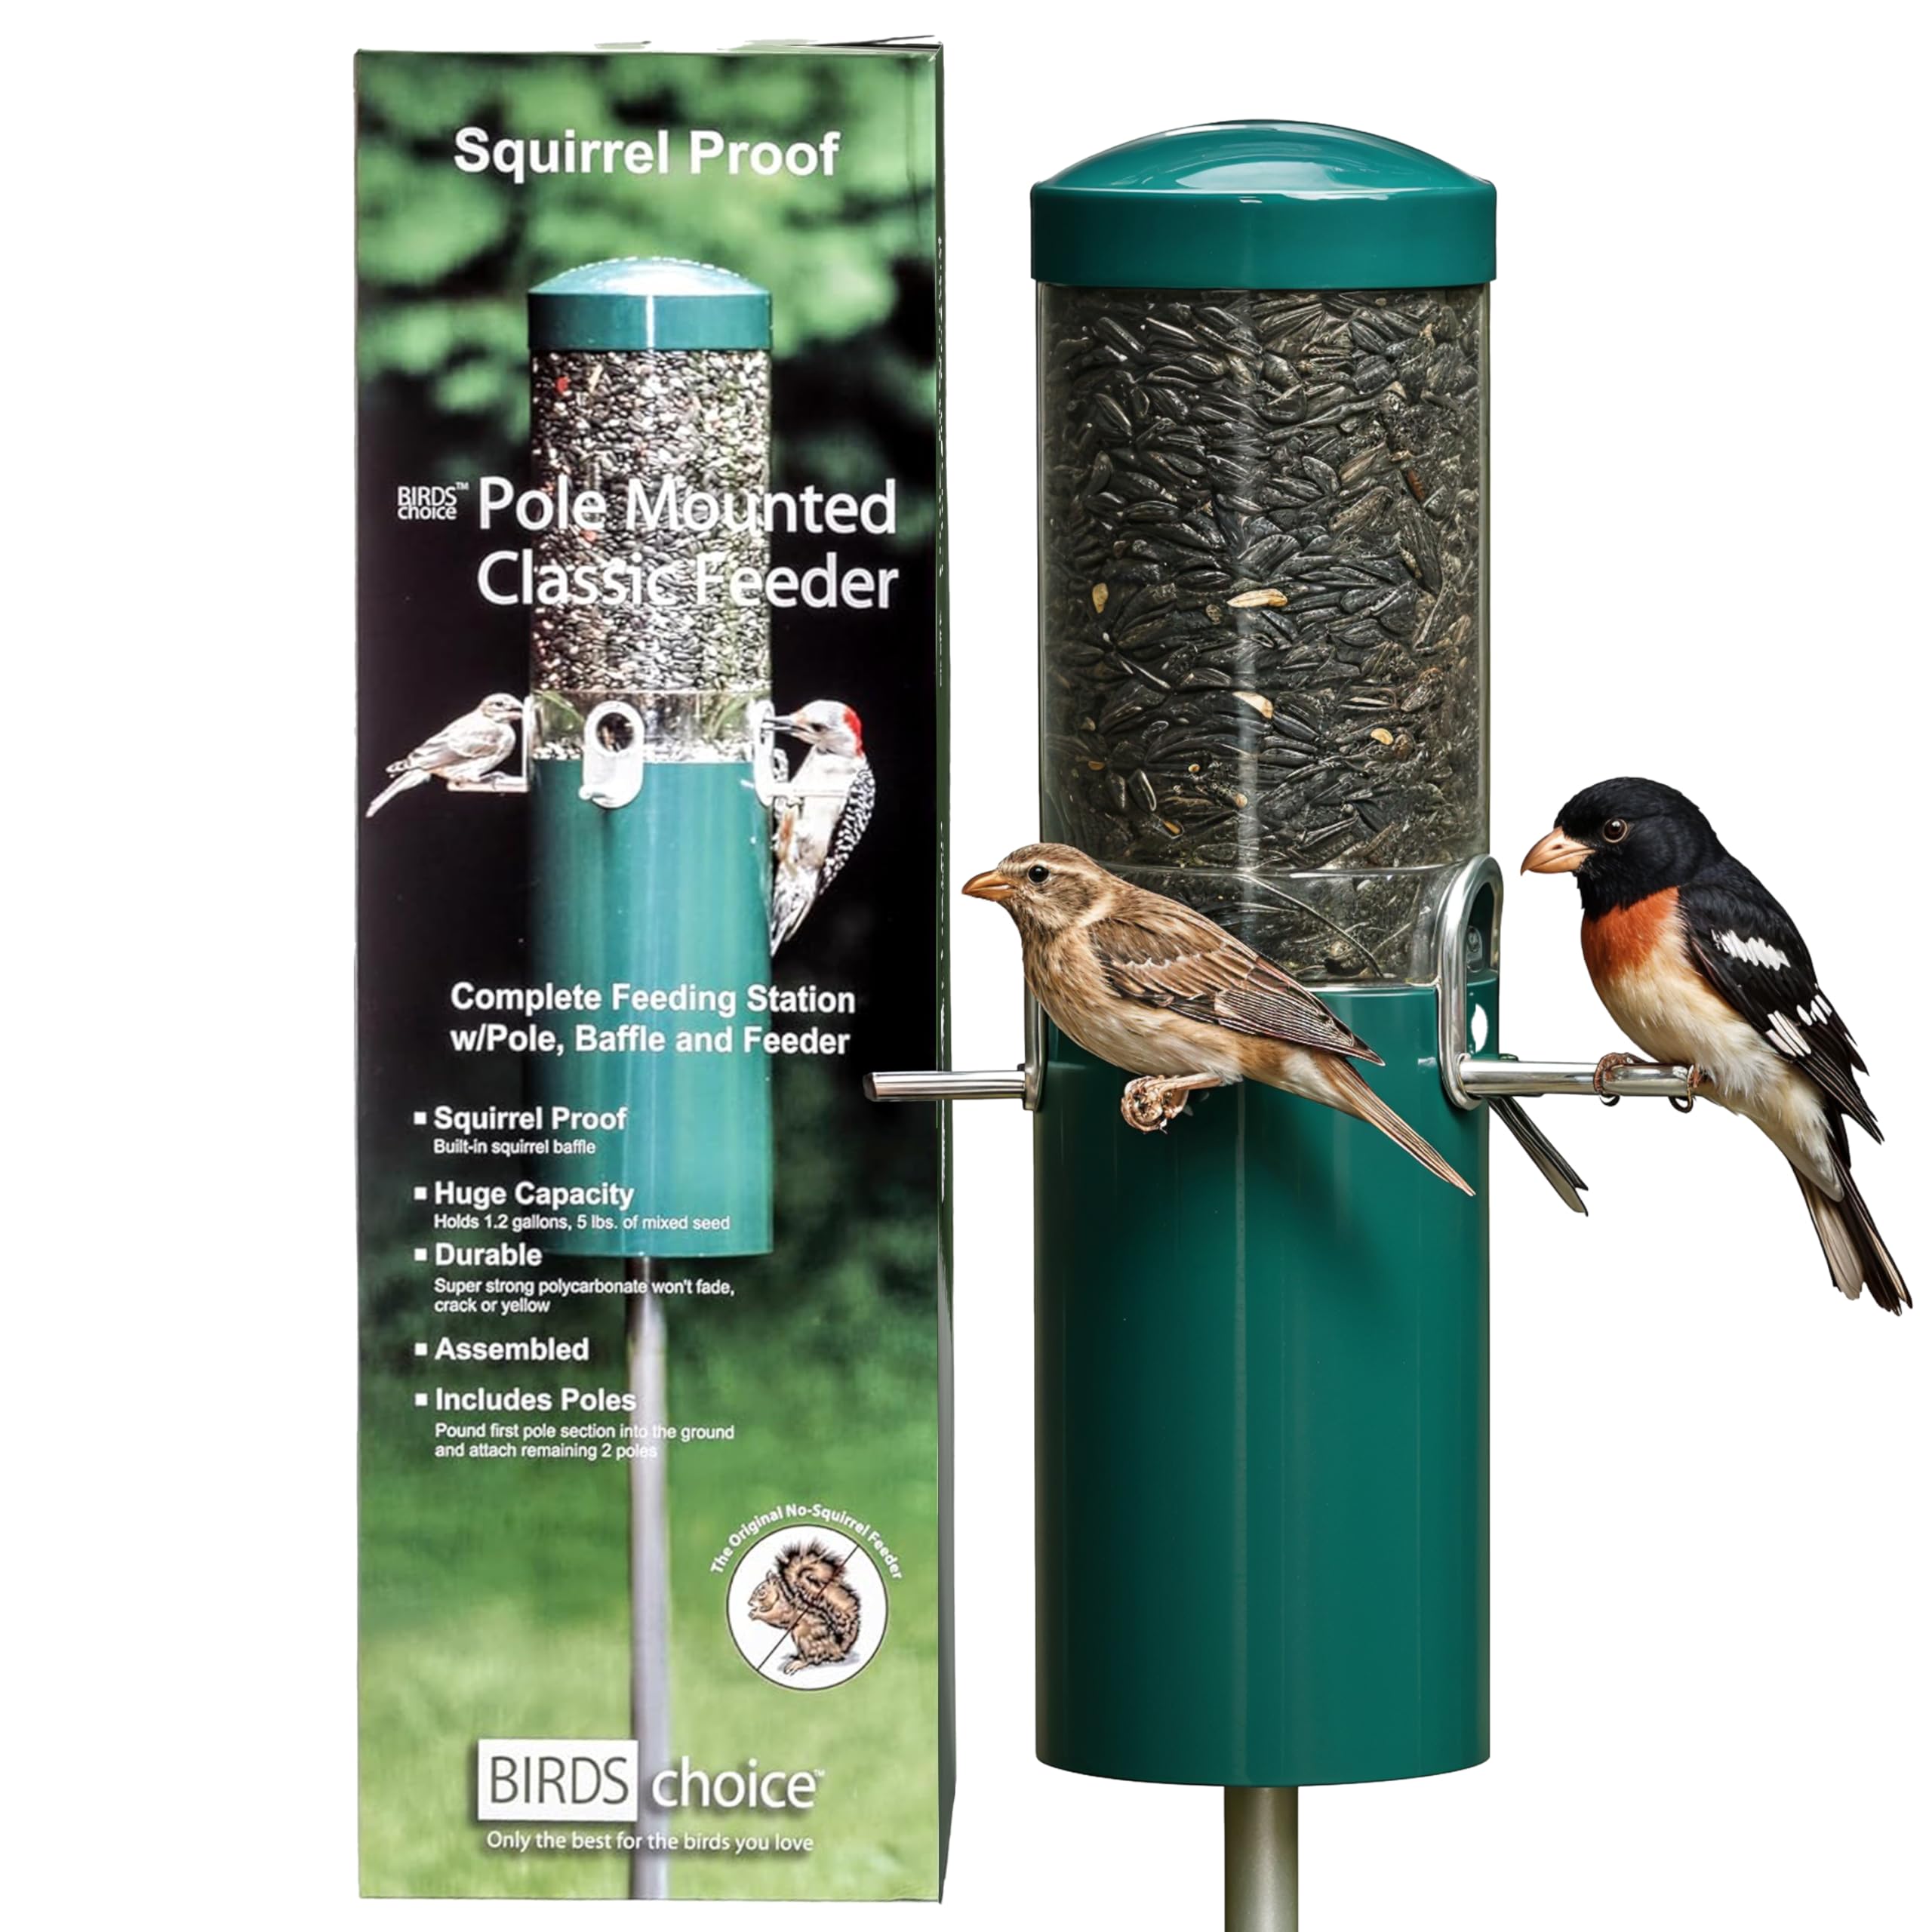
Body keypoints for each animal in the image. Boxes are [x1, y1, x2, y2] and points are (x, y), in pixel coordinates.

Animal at [745, 1539, 861, 1675]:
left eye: (762, 1592)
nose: (749, 1603)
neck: (781, 1597)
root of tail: (837, 1649)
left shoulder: (784, 1611)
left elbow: (774, 1617)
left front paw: (756, 1613)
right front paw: (754, 1610)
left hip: (804, 1638)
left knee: (813, 1658)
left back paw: (798, 1663)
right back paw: (796, 1656)